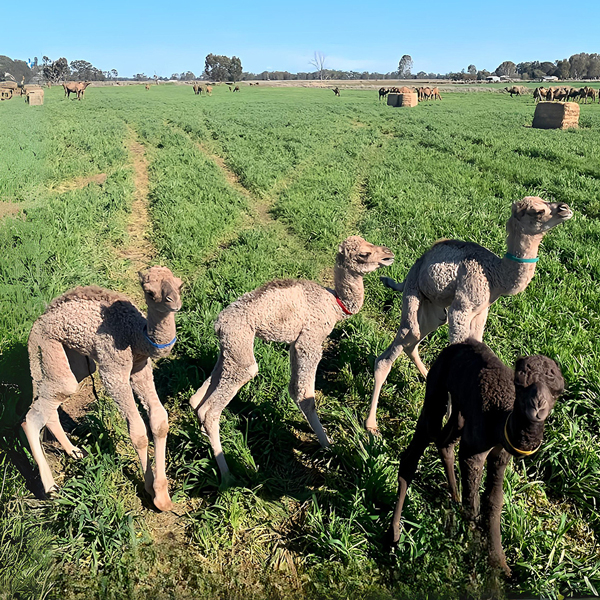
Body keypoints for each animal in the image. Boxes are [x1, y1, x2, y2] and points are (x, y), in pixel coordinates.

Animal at [22, 268, 183, 510]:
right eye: (149, 291)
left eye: (179, 284)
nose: (174, 302)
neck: (135, 335)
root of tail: (37, 323)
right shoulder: (113, 371)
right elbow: (137, 431)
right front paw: (149, 489)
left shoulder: (140, 367)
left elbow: (159, 421)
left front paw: (163, 495)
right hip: (47, 346)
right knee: (35, 413)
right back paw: (51, 488)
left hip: (73, 359)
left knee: (53, 400)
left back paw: (75, 452)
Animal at [189, 234, 394, 478]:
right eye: (364, 253)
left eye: (369, 241)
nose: (389, 254)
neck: (336, 305)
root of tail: (219, 322)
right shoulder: (310, 340)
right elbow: (304, 395)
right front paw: (328, 444)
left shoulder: (295, 343)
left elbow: (295, 390)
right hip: (240, 345)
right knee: (213, 409)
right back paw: (227, 475)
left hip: (231, 348)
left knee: (198, 399)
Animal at [366, 197, 572, 432]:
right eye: (537, 211)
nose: (565, 209)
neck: (496, 276)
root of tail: (415, 265)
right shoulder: (461, 309)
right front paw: (451, 417)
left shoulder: (482, 311)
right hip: (413, 293)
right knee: (397, 344)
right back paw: (371, 425)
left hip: (434, 310)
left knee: (412, 342)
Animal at [390, 340, 564, 576]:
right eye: (519, 384)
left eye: (557, 392)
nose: (537, 407)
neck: (499, 421)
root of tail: (458, 345)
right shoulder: (474, 451)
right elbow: (473, 506)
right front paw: (474, 555)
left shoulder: (501, 455)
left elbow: (493, 501)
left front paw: (501, 566)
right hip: (436, 386)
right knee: (419, 445)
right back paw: (394, 534)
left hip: (460, 411)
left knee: (445, 442)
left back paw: (453, 498)